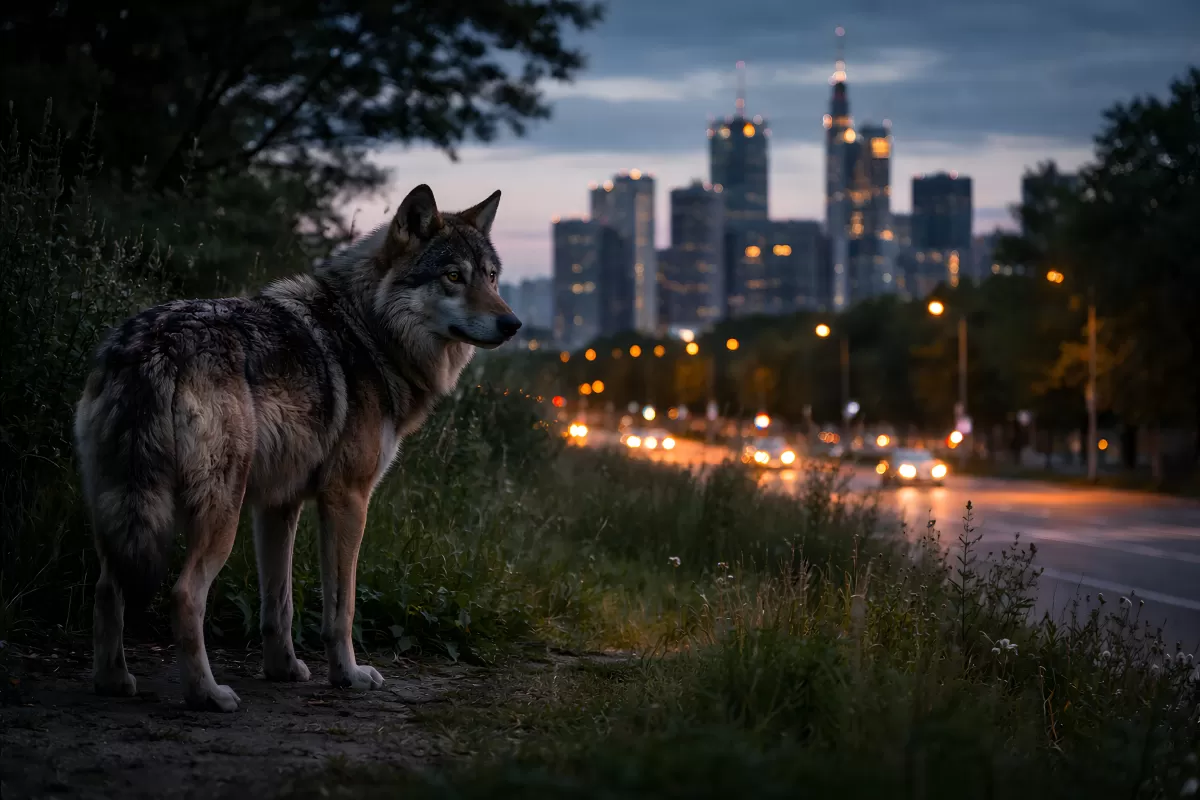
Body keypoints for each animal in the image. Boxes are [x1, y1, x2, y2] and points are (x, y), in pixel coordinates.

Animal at [73, 185, 520, 711]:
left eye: (490, 277)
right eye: (453, 276)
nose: (512, 323)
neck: (368, 330)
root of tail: (155, 347)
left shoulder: (278, 505)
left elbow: (278, 604)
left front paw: (283, 670)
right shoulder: (347, 499)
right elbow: (342, 608)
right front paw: (348, 675)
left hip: (123, 510)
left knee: (107, 587)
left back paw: (113, 681)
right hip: (219, 515)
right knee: (184, 595)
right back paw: (208, 695)